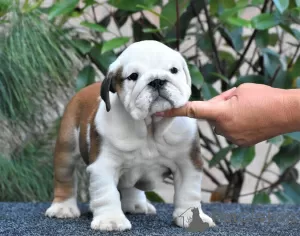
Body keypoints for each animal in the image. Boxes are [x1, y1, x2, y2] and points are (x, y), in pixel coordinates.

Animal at [45, 40, 216, 230]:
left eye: (173, 70)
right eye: (133, 76)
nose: (157, 80)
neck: (150, 128)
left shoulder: (187, 163)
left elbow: (189, 192)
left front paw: (192, 217)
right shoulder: (104, 165)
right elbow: (106, 193)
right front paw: (111, 220)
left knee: (131, 186)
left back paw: (136, 205)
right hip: (66, 147)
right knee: (65, 178)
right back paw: (63, 208)